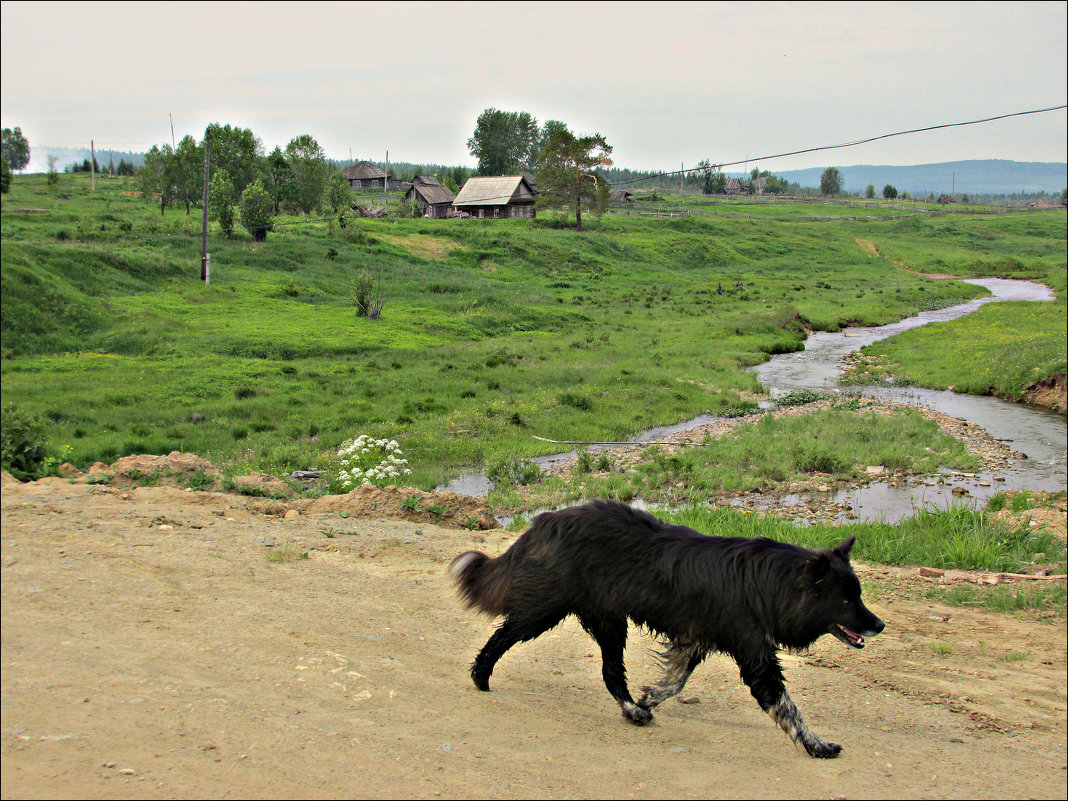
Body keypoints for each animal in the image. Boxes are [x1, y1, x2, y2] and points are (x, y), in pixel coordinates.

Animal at [450, 501, 884, 760]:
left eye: (859, 596)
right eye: (847, 602)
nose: (879, 624)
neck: (769, 583)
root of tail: (547, 521)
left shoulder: (696, 639)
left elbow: (676, 681)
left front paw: (650, 697)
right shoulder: (753, 653)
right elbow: (786, 705)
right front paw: (817, 745)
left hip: (609, 621)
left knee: (611, 674)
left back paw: (633, 710)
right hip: (546, 609)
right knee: (504, 635)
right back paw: (480, 676)